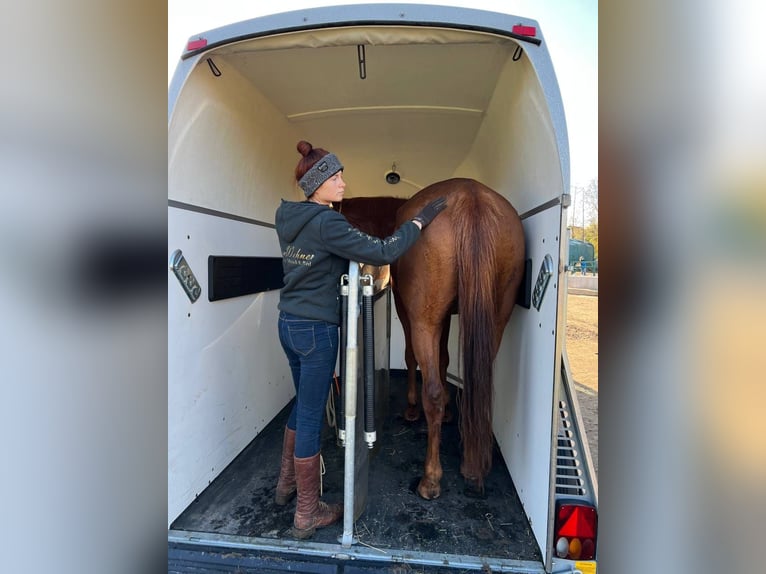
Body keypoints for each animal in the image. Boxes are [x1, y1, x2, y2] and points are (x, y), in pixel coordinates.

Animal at [340, 179, 524, 500]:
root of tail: (470, 198)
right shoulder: (447, 316)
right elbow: (443, 359)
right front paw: (450, 411)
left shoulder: (409, 313)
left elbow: (413, 358)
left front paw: (413, 407)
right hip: (495, 321)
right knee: (476, 386)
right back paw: (471, 465)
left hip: (424, 322)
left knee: (433, 393)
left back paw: (430, 478)